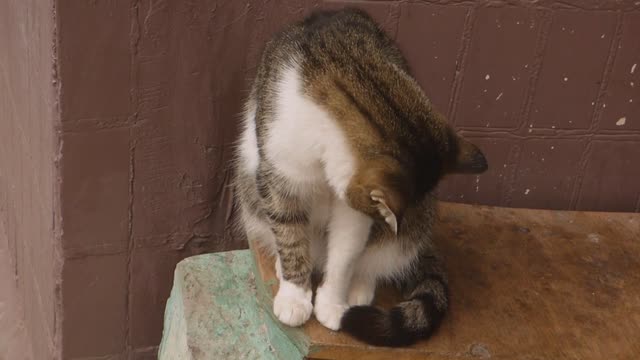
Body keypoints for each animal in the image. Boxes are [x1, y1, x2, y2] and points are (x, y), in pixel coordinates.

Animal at [232, 7, 488, 346]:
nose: (393, 224)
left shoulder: (354, 209)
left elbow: (346, 253)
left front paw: (332, 304)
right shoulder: (280, 175)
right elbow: (289, 234)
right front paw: (295, 296)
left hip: (417, 222)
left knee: (377, 259)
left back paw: (360, 287)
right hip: (249, 185)